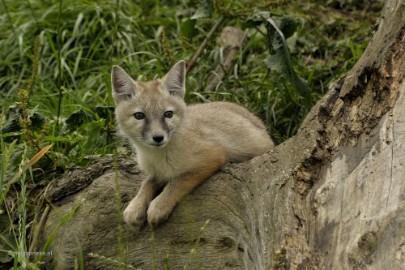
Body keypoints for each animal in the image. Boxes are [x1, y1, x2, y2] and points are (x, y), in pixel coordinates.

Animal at [112, 60, 274, 229]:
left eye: (168, 114)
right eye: (139, 116)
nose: (158, 138)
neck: (158, 157)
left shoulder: (213, 156)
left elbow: (176, 183)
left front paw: (159, 206)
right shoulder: (156, 172)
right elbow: (147, 183)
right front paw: (135, 206)